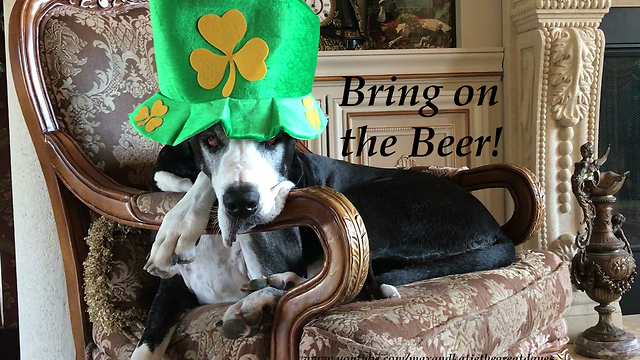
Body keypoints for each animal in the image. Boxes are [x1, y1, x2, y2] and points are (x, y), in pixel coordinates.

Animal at [130, 123, 516, 360]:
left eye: (272, 138)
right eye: (210, 139)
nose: (243, 203)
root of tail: (497, 230)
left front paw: (179, 224)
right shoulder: (172, 291)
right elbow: (147, 340)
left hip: (374, 207)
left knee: (361, 284)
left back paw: (256, 301)